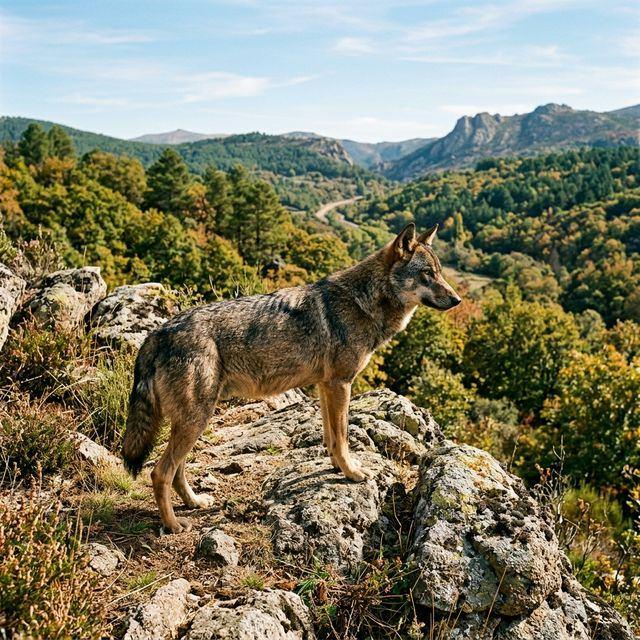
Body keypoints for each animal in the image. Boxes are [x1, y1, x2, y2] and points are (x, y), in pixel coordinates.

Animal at [122, 223, 461, 533]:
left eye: (439, 272)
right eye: (427, 273)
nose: (457, 300)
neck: (363, 301)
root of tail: (156, 334)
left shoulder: (326, 386)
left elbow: (331, 436)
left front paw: (336, 467)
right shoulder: (341, 383)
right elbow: (342, 436)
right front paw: (351, 473)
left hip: (194, 419)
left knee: (177, 469)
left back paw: (194, 502)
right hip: (196, 418)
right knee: (160, 473)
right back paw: (173, 525)